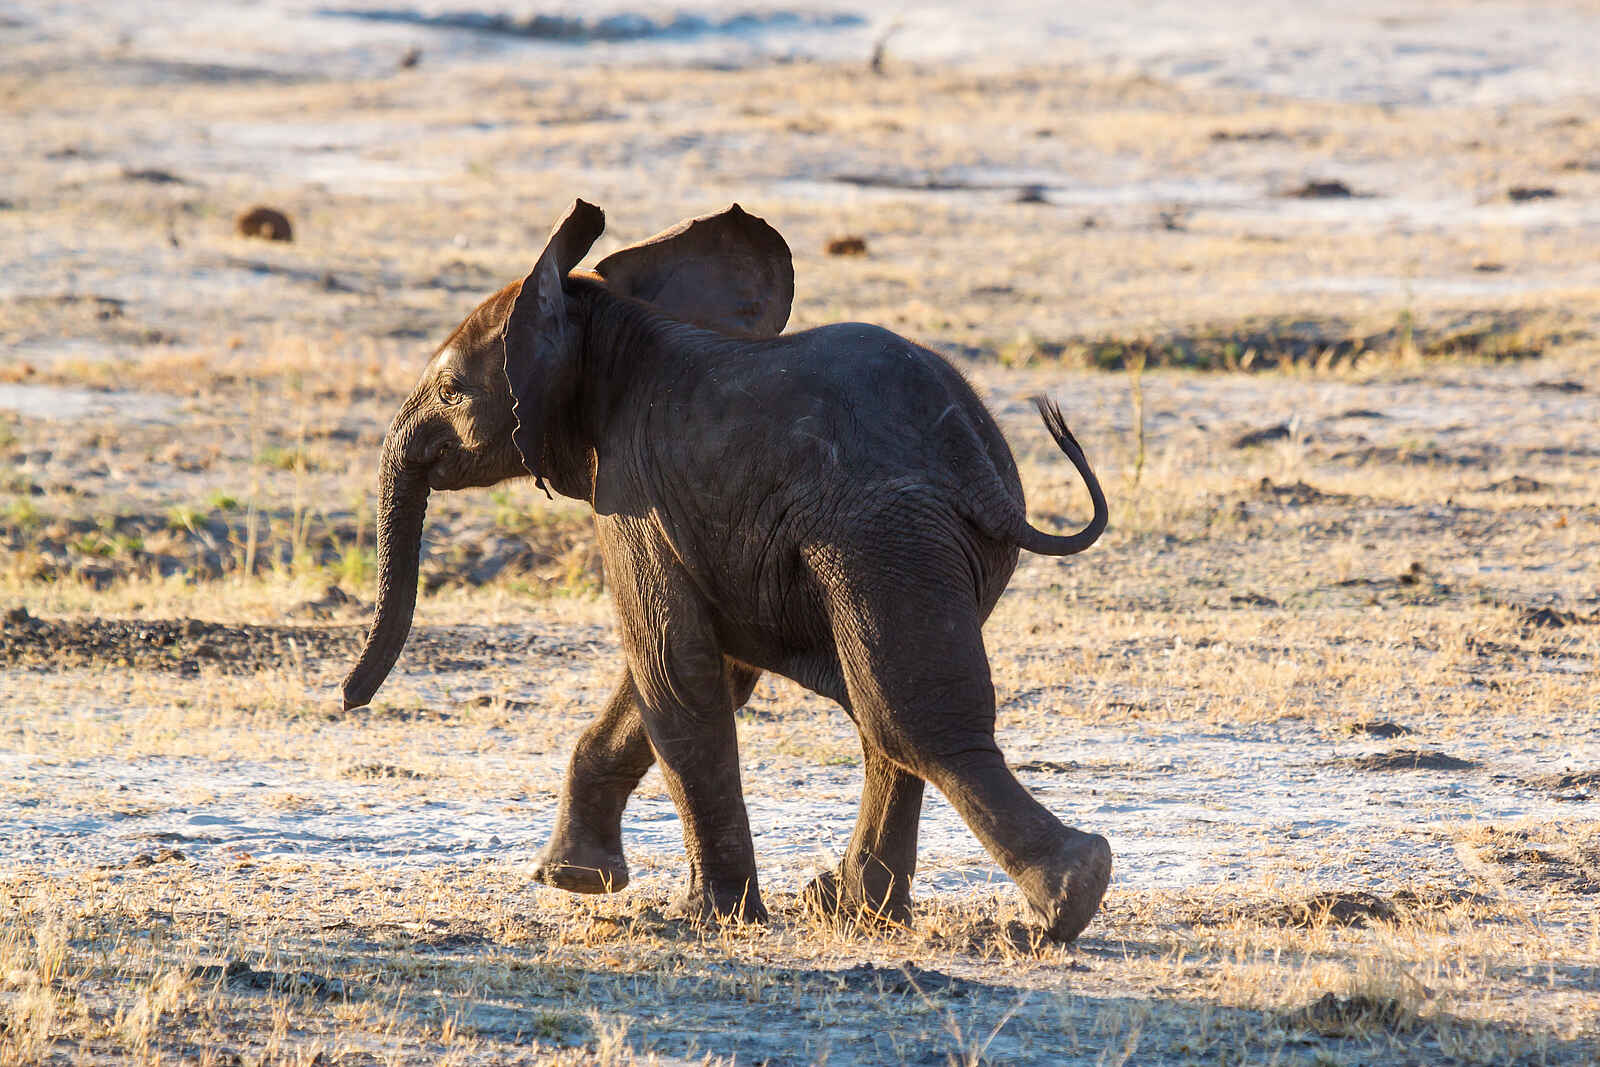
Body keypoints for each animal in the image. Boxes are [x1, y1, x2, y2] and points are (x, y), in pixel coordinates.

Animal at [341, 200, 1113, 942]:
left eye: (450, 390)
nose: (350, 701)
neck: (607, 323)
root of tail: (975, 458)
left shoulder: (633, 487)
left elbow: (670, 669)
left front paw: (711, 916)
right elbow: (691, 670)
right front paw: (575, 880)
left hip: (882, 535)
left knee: (908, 719)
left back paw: (1065, 898)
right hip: (933, 543)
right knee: (883, 713)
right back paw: (856, 910)